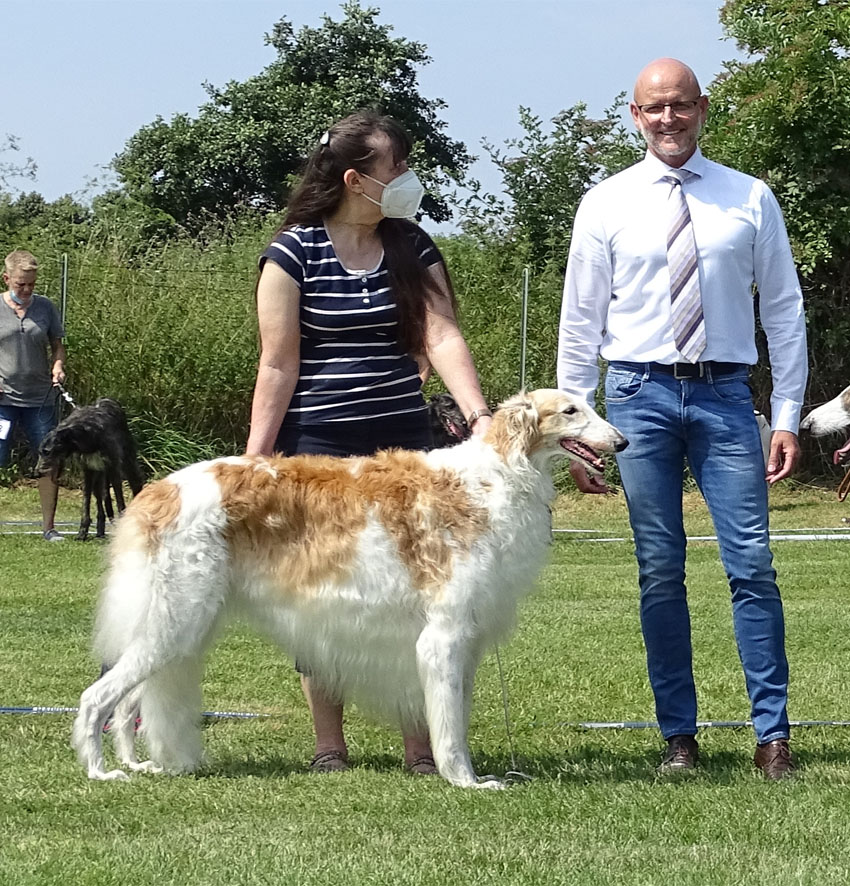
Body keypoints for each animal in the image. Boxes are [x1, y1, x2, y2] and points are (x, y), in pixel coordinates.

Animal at [37, 398, 145, 540]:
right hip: (98, 475)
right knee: (100, 500)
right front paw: (82, 532)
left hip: (127, 462)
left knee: (135, 483)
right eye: (40, 452)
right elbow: (86, 501)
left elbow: (120, 500)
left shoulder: (113, 467)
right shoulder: (87, 470)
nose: (36, 473)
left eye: (47, 452)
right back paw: (100, 531)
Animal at [72, 389, 627, 787]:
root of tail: (159, 490)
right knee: (97, 697)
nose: (621, 442)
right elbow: (451, 728)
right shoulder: (444, 636)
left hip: (181, 629)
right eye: (571, 410)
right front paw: (466, 781)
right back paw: (100, 770)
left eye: (588, 406)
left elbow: (456, 715)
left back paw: (140, 765)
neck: (494, 478)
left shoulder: (465, 640)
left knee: (128, 703)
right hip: (176, 621)